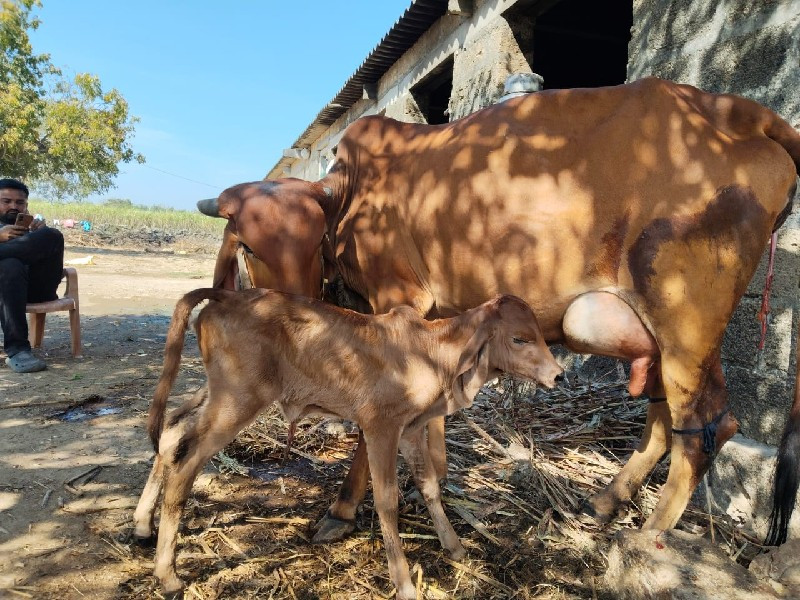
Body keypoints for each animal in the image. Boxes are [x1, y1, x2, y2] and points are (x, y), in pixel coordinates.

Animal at [133, 288, 564, 596]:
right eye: (520, 339)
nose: (558, 374)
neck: (433, 352)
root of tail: (226, 295)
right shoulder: (380, 427)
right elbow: (387, 501)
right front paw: (403, 583)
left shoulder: (411, 429)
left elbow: (429, 487)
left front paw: (454, 547)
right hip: (238, 401)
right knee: (185, 463)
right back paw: (167, 575)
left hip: (215, 394)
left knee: (170, 434)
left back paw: (142, 526)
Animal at [198, 78, 800, 544]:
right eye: (248, 244)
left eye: (308, 241)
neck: (353, 195)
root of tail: (736, 110)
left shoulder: (400, 302)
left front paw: (344, 509)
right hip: (662, 335)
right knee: (668, 419)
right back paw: (607, 502)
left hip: (684, 323)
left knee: (704, 426)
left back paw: (649, 532)